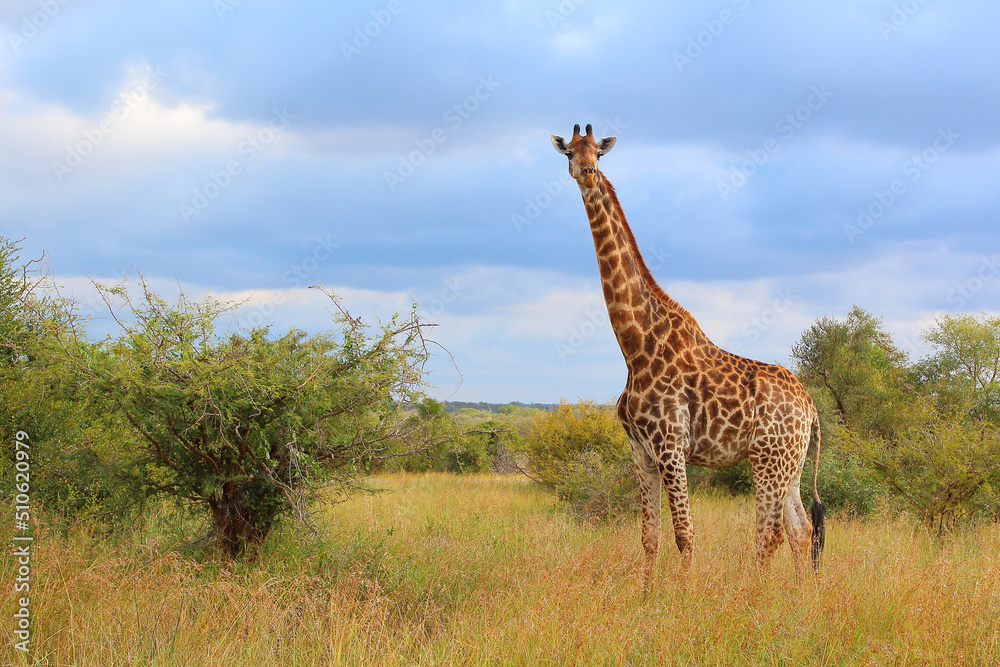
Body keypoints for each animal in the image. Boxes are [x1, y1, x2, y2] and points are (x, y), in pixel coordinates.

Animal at [551, 124, 825, 586]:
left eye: (598, 155)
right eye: (569, 152)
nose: (586, 172)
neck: (635, 347)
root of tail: (811, 407)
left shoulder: (671, 445)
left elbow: (684, 532)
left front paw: (684, 595)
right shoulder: (641, 451)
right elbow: (650, 536)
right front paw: (646, 595)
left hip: (767, 459)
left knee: (769, 534)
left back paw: (753, 596)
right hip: (791, 462)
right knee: (800, 529)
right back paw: (799, 597)